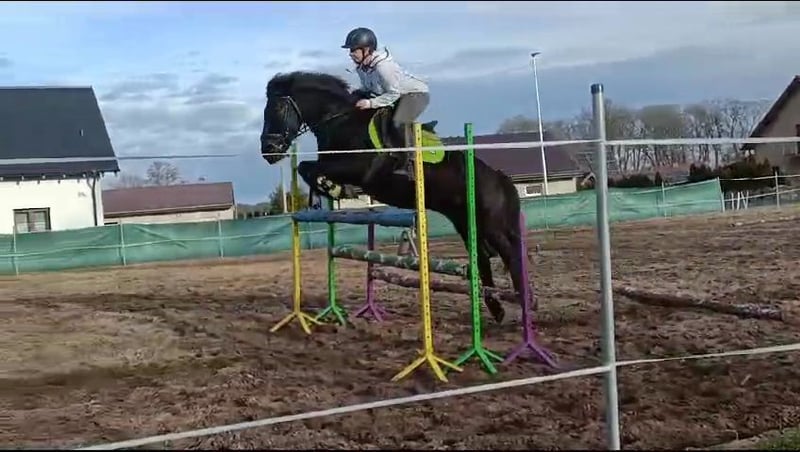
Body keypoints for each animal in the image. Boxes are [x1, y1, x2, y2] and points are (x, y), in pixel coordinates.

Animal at [259, 70, 527, 324]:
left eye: (277, 109)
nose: (268, 151)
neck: (340, 120)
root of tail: (498, 177)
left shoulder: (360, 168)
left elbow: (309, 168)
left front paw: (333, 188)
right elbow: (305, 167)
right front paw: (327, 192)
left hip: (490, 224)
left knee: (510, 255)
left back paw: (524, 305)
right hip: (465, 222)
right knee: (482, 258)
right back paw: (497, 309)